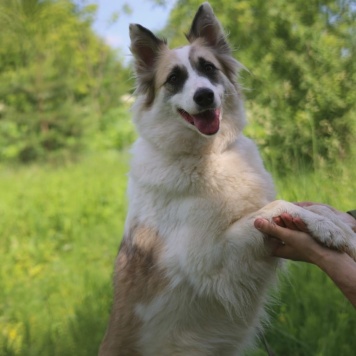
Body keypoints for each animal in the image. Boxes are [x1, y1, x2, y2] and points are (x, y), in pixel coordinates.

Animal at [99, 3, 356, 356]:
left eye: (208, 68)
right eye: (174, 78)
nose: (205, 96)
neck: (211, 156)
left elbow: (315, 205)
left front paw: (338, 224)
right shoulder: (209, 259)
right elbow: (276, 206)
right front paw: (328, 229)